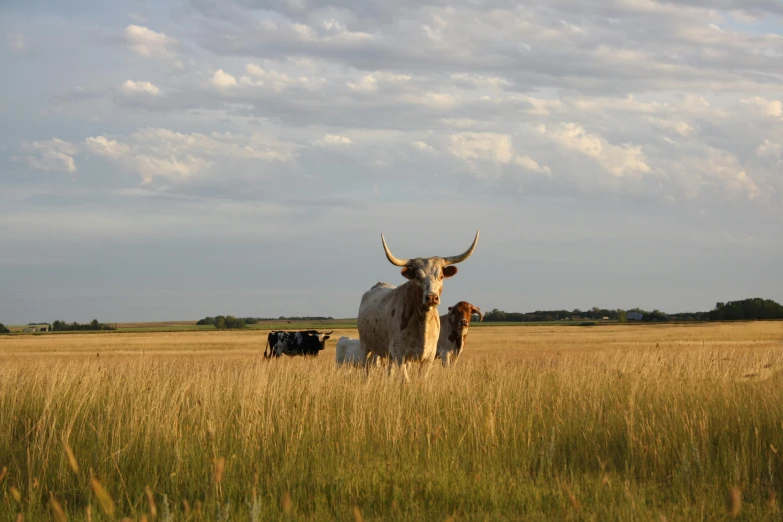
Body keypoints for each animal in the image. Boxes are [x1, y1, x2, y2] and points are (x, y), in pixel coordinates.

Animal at [358, 231, 480, 374]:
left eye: (441, 276)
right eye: (417, 277)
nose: (432, 297)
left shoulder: (429, 358)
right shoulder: (400, 355)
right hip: (365, 346)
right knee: (366, 368)